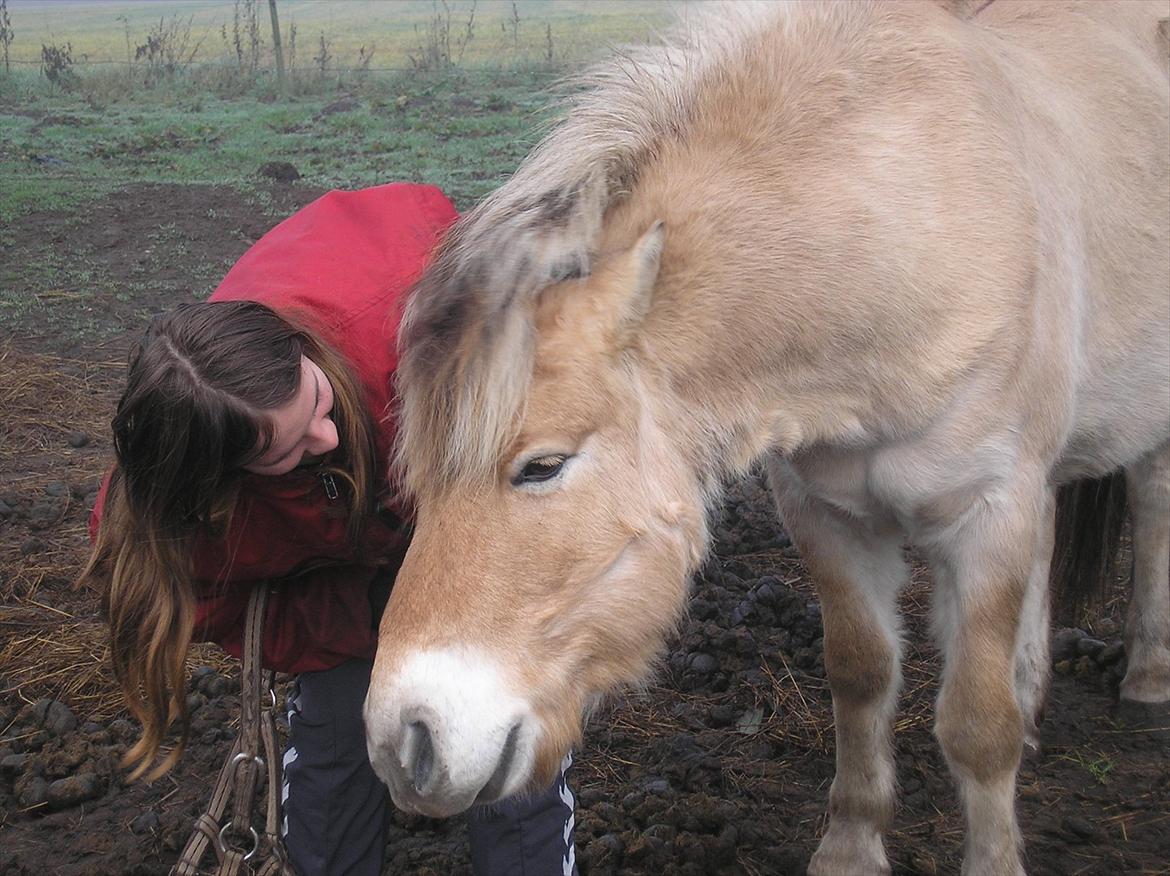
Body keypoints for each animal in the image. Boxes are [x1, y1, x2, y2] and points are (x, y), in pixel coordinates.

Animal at [367, 3, 1170, 870]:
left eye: (542, 466)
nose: (403, 743)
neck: (903, 237)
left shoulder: (989, 512)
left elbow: (977, 728)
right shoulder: (827, 514)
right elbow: (859, 676)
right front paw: (851, 843)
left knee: (1152, 508)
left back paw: (1147, 676)